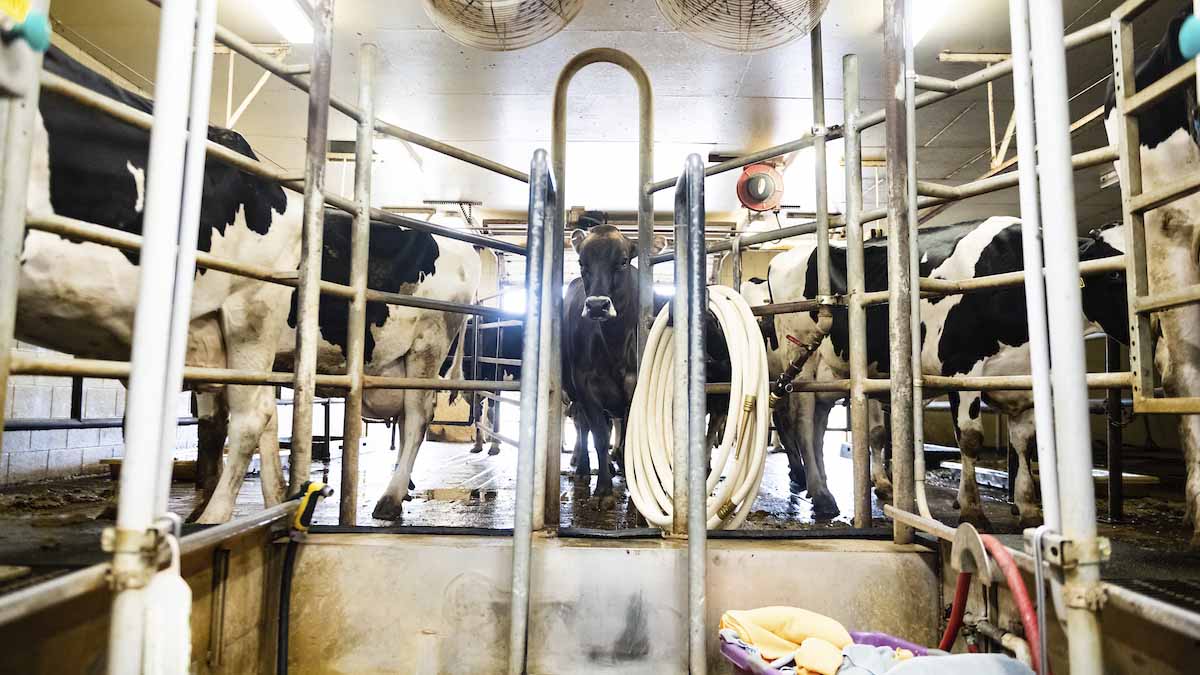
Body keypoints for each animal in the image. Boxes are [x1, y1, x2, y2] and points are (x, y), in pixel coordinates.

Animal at [758, 218, 1123, 528]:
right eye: (1113, 275)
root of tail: (783, 257)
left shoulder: (1026, 379)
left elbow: (1025, 442)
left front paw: (1029, 508)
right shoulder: (962, 368)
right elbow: (970, 438)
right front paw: (972, 509)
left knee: (818, 425)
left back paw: (821, 487)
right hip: (803, 363)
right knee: (802, 422)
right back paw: (820, 495)